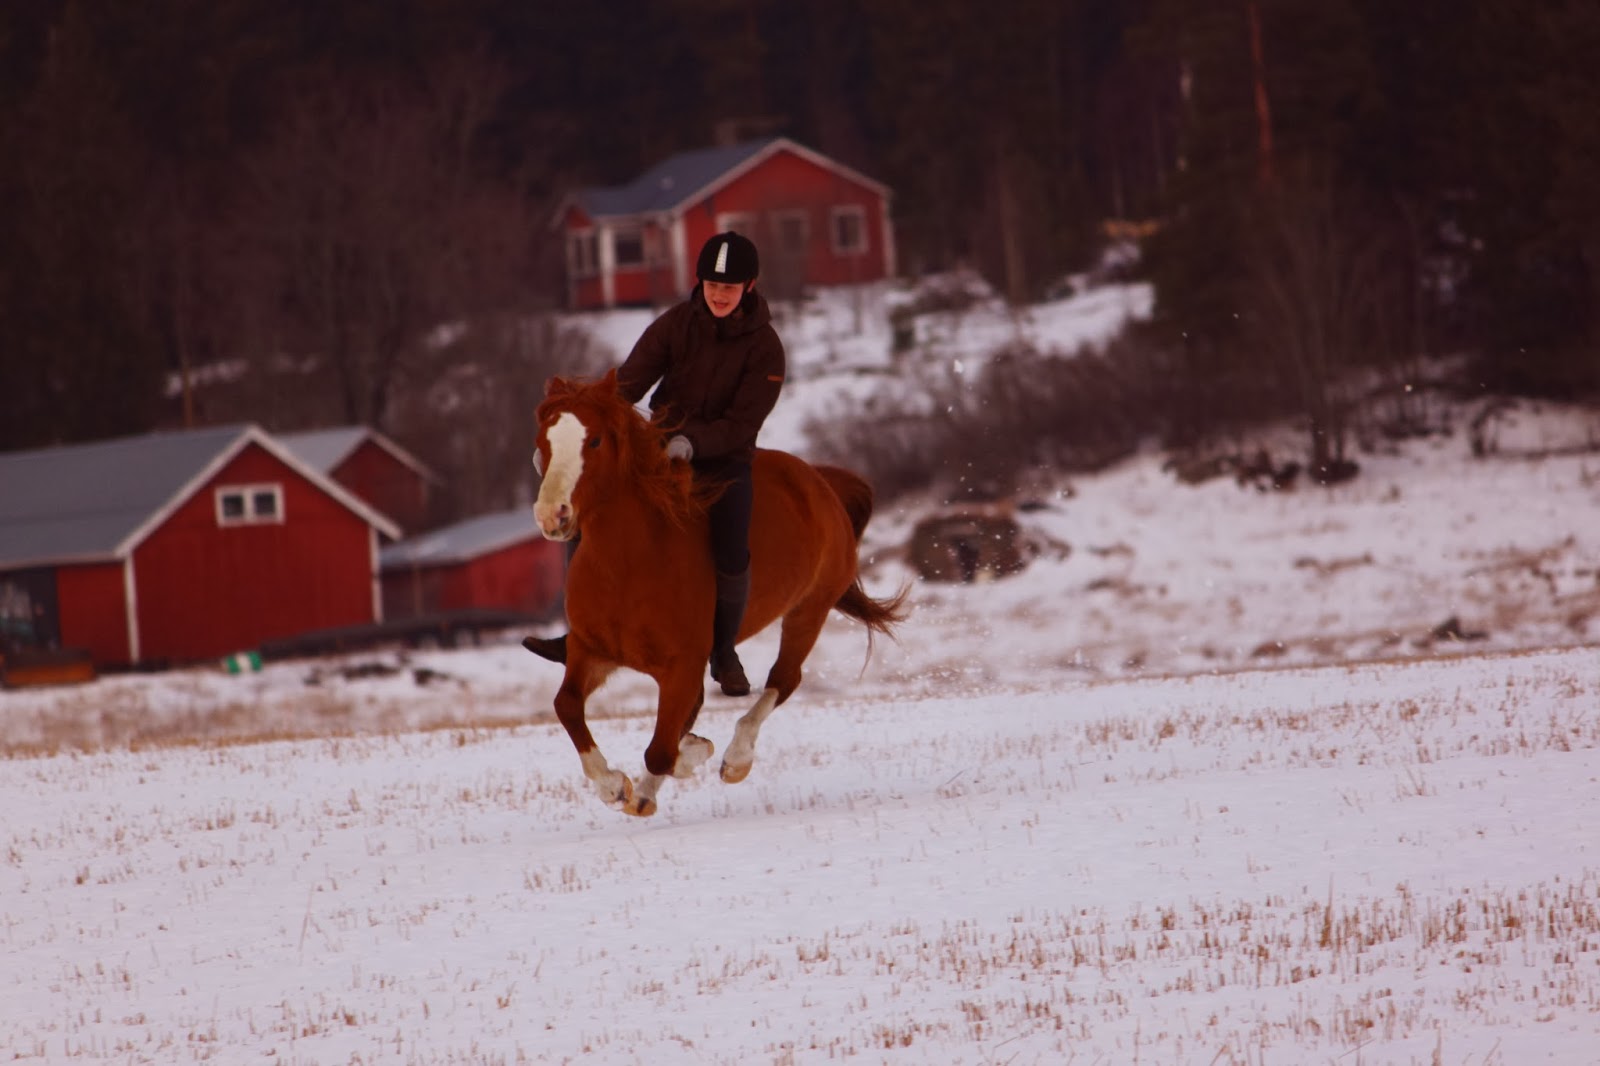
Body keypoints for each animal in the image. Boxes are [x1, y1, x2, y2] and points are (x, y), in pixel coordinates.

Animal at [530, 370, 908, 817]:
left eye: (595, 441)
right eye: (544, 442)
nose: (552, 515)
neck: (627, 565)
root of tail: (820, 481)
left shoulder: (682, 666)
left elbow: (661, 750)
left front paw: (665, 773)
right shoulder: (591, 651)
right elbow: (567, 706)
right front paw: (615, 786)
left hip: (809, 609)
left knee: (784, 679)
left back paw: (735, 758)